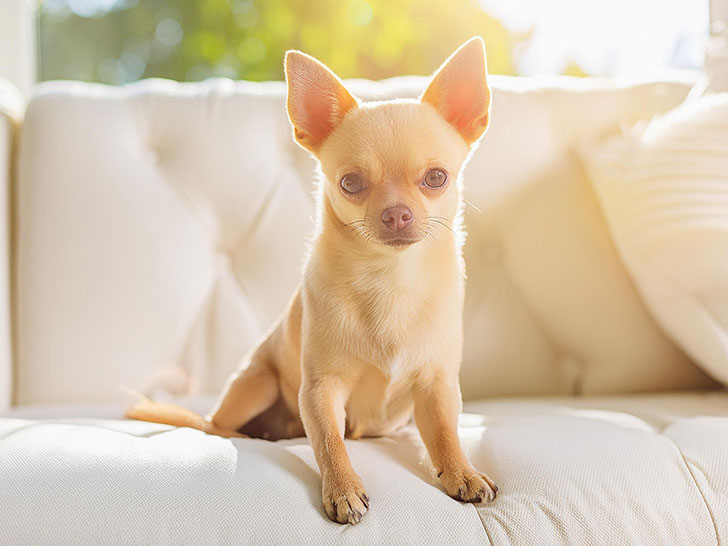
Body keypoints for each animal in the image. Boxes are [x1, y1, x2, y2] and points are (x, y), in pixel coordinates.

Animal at [128, 37, 498, 524]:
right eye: (351, 183)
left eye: (437, 177)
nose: (396, 214)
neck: (389, 279)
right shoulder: (321, 389)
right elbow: (328, 440)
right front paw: (342, 488)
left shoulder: (436, 387)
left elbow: (445, 433)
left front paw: (462, 472)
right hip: (256, 384)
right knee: (215, 426)